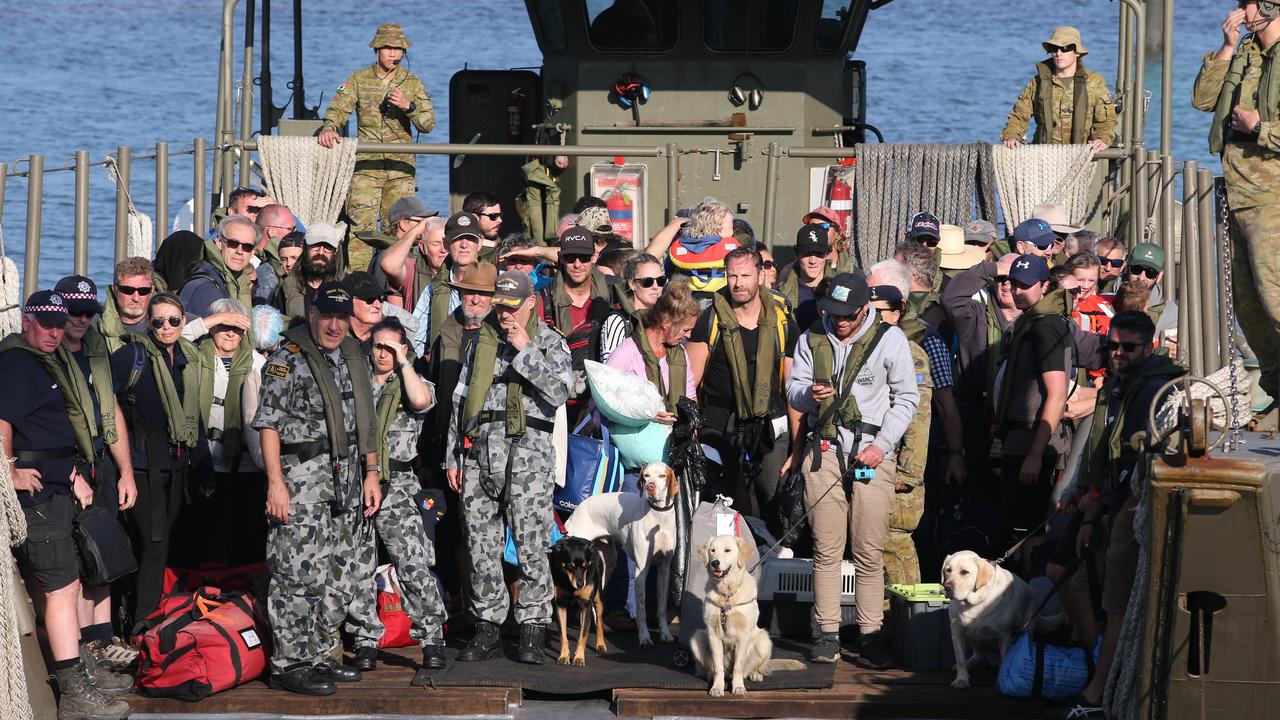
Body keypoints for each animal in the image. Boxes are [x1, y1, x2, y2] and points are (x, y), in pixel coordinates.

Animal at [545, 535, 614, 666]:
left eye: (585, 566)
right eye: (570, 566)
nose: (581, 584)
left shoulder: (587, 605)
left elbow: (583, 636)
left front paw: (579, 658)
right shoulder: (560, 605)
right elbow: (563, 635)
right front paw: (564, 656)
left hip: (598, 598)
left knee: (599, 621)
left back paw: (601, 645)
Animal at [565, 456, 675, 648]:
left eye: (662, 475)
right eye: (646, 475)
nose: (650, 487)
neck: (658, 516)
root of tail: (578, 508)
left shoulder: (664, 568)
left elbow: (661, 606)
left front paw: (666, 634)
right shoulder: (641, 570)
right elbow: (641, 609)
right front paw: (644, 637)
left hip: (608, 564)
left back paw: (603, 628)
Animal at [691, 535, 798, 691]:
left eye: (727, 550)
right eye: (712, 550)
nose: (714, 563)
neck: (727, 594)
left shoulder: (744, 633)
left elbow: (739, 666)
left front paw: (738, 687)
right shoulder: (713, 632)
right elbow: (718, 666)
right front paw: (717, 687)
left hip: (764, 641)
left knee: (749, 669)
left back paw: (755, 674)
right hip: (697, 638)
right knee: (712, 668)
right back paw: (711, 675)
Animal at [942, 545, 1039, 686]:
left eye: (964, 572)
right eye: (948, 570)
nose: (947, 587)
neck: (974, 603)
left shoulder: (1004, 634)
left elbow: (1005, 659)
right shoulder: (956, 631)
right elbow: (960, 659)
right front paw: (962, 679)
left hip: (1027, 627)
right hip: (972, 635)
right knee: (979, 656)